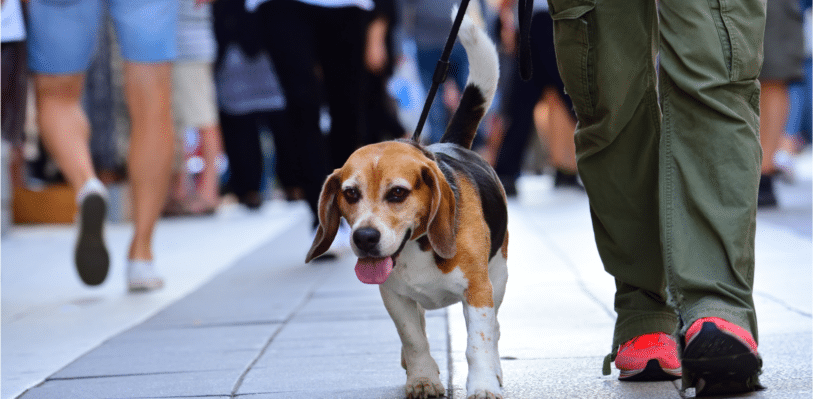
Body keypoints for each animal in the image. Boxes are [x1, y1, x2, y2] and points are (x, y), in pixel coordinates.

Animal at [306, 11, 504, 399]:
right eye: (350, 194)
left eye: (398, 193)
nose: (365, 238)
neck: (417, 245)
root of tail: (450, 144)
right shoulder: (394, 296)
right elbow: (413, 339)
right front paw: (423, 378)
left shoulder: (479, 290)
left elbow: (479, 342)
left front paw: (484, 385)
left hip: (499, 275)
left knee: (496, 328)